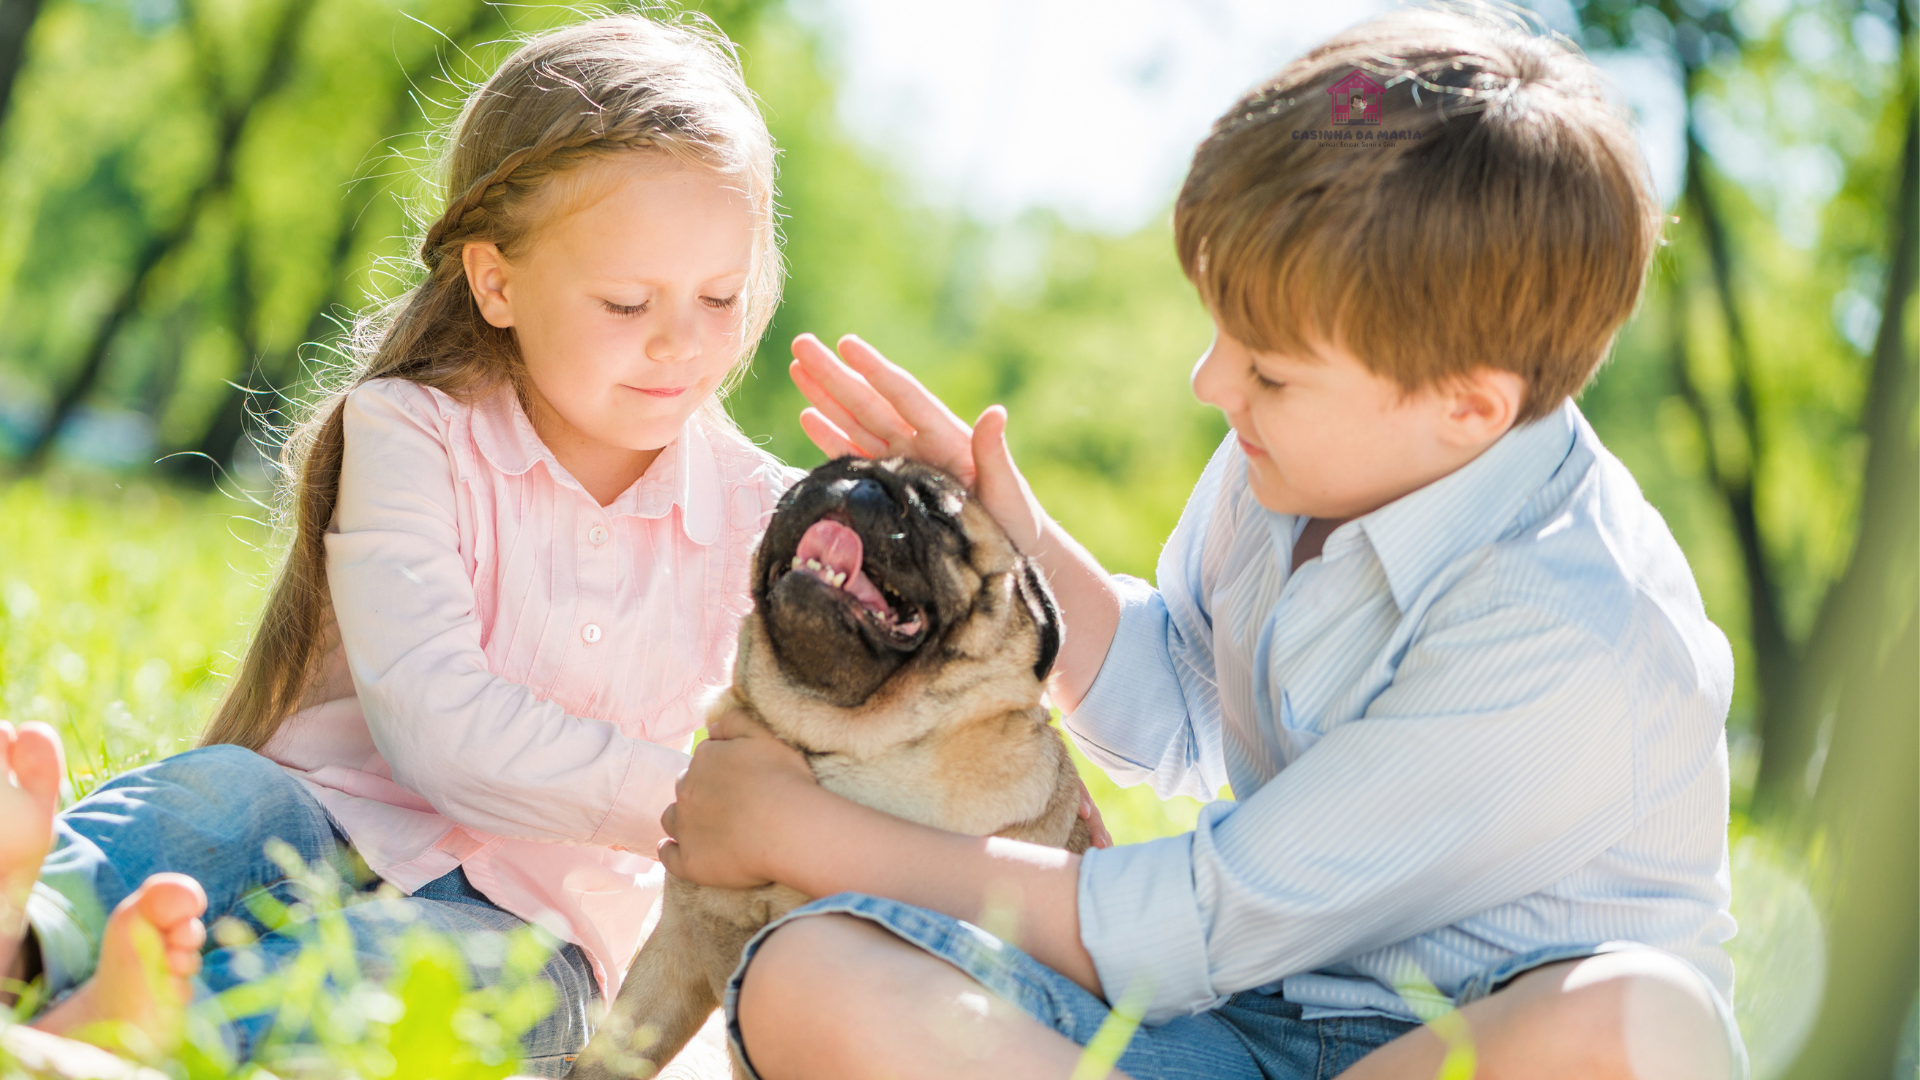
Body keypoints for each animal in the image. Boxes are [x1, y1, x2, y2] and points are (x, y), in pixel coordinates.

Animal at [560, 453, 1090, 1076]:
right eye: (824, 471)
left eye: (938, 512)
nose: (859, 484)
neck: (832, 746)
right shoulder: (672, 954)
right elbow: (603, 1059)